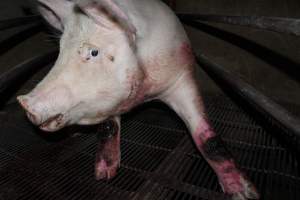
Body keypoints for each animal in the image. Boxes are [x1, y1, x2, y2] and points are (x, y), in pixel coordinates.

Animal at [17, 0, 260, 199]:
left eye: (93, 52)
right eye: (60, 52)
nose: (25, 102)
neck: (145, 93)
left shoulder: (182, 77)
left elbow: (208, 139)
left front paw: (244, 194)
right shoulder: (109, 100)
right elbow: (108, 128)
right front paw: (103, 175)